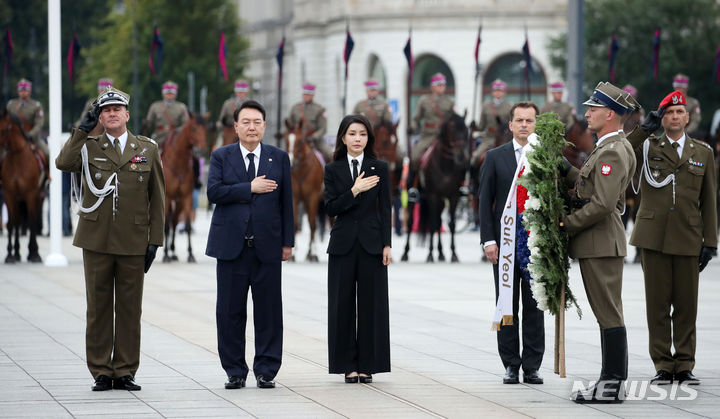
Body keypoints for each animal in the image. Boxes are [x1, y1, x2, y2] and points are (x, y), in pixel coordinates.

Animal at [0, 110, 44, 264]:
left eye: (5, 130)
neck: (17, 161)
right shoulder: (9, 194)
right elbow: (11, 224)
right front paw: (9, 255)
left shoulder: (32, 194)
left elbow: (31, 222)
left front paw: (34, 253)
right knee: (17, 222)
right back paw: (17, 253)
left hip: (38, 197)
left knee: (31, 220)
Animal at [162, 113, 207, 264]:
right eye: (193, 128)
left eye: (205, 128)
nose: (200, 150)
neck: (178, 163)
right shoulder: (167, 197)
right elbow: (165, 226)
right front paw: (165, 255)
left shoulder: (187, 197)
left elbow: (187, 225)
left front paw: (190, 254)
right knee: (169, 222)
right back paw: (168, 253)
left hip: (179, 202)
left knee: (175, 221)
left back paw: (173, 251)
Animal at [284, 119, 324, 262]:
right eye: (285, 139)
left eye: (300, 140)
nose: (290, 162)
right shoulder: (294, 198)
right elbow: (295, 223)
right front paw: (293, 254)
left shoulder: (312, 197)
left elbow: (312, 224)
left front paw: (313, 254)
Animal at [402, 111, 470, 262]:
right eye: (452, 131)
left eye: (466, 130)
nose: (461, 157)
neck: (446, 165)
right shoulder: (433, 195)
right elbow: (432, 224)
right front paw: (430, 254)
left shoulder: (453, 196)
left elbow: (451, 224)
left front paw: (453, 254)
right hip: (413, 195)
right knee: (411, 222)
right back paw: (405, 253)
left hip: (441, 201)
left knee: (439, 222)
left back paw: (441, 253)